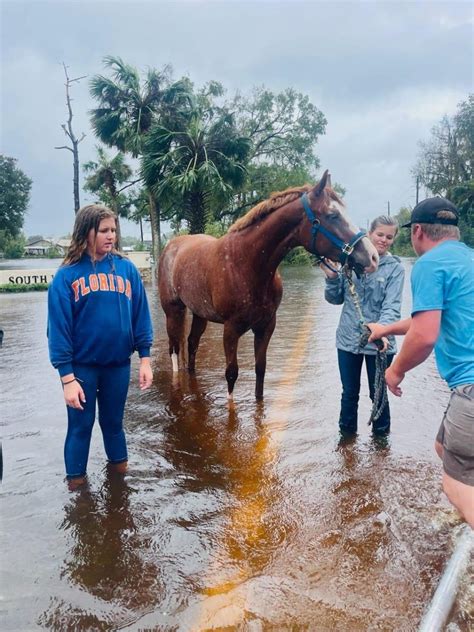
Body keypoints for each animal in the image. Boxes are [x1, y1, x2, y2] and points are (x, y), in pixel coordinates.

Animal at [158, 172, 378, 400]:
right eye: (332, 215)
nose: (372, 257)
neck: (246, 263)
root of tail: (172, 247)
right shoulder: (231, 329)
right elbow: (231, 374)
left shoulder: (266, 326)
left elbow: (260, 369)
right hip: (173, 311)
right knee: (174, 348)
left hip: (199, 313)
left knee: (192, 343)